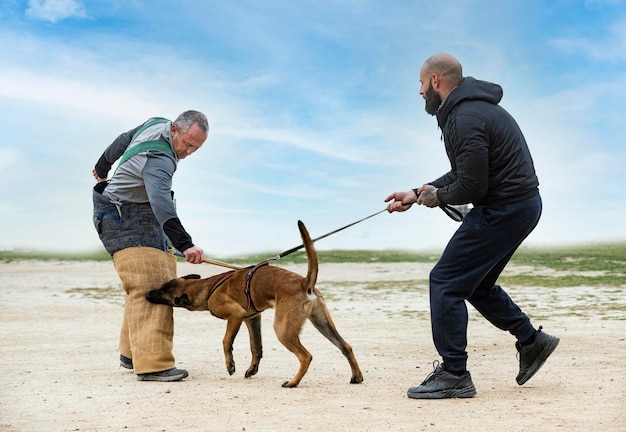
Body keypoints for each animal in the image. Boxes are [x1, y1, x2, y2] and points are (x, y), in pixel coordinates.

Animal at [145, 221, 360, 386]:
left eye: (162, 293)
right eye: (161, 287)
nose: (147, 294)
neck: (206, 287)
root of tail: (304, 283)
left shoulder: (236, 316)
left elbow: (226, 342)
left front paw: (230, 366)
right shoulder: (252, 319)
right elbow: (256, 347)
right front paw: (252, 369)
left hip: (283, 329)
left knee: (306, 356)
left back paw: (292, 382)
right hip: (323, 324)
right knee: (346, 347)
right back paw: (356, 376)